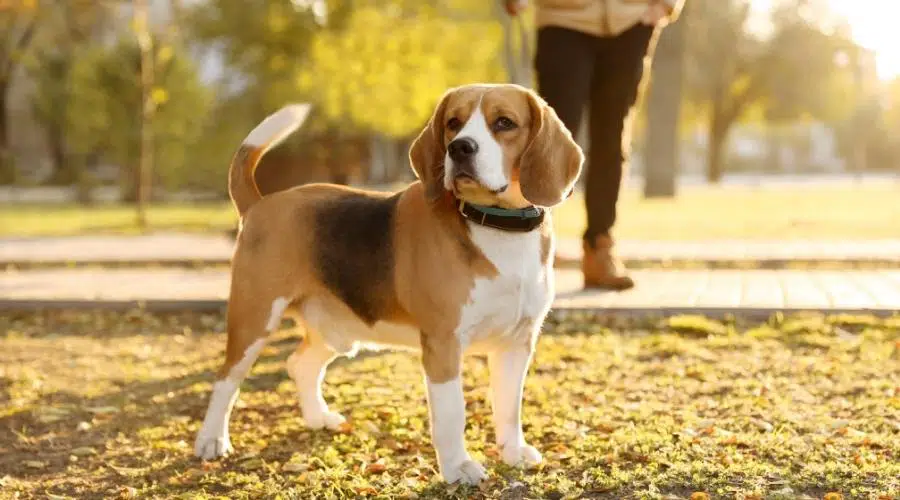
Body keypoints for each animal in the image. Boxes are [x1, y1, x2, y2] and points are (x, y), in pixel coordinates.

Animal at [192, 83, 580, 484]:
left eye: (504, 122)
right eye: (452, 123)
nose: (460, 148)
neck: (497, 226)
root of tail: (261, 203)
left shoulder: (517, 343)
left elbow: (509, 407)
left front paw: (513, 452)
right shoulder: (443, 344)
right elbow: (452, 414)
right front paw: (458, 468)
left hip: (335, 329)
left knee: (299, 364)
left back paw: (317, 418)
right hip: (254, 320)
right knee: (225, 379)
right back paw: (211, 441)